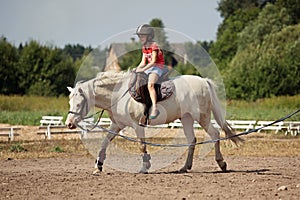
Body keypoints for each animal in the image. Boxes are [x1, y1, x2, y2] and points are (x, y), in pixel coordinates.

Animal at [65, 71, 244, 173]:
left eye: (79, 104)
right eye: (69, 102)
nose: (69, 123)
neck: (119, 94)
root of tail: (203, 81)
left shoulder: (137, 125)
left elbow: (141, 145)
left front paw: (145, 167)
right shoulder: (117, 125)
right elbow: (104, 142)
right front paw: (98, 165)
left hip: (202, 117)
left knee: (214, 134)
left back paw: (221, 163)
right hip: (186, 118)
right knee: (192, 140)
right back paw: (185, 167)